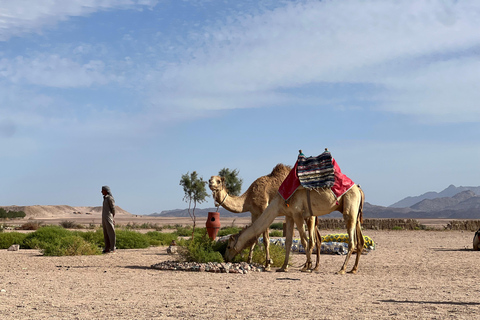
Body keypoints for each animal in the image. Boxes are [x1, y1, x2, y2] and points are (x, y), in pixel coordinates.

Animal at [224, 184, 364, 274]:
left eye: (229, 246)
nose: (226, 258)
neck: (278, 203)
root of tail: (359, 189)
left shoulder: (297, 214)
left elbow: (304, 241)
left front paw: (307, 266)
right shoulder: (289, 215)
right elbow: (288, 242)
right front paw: (283, 267)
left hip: (349, 209)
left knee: (351, 241)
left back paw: (342, 269)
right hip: (355, 213)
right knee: (360, 241)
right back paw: (353, 269)